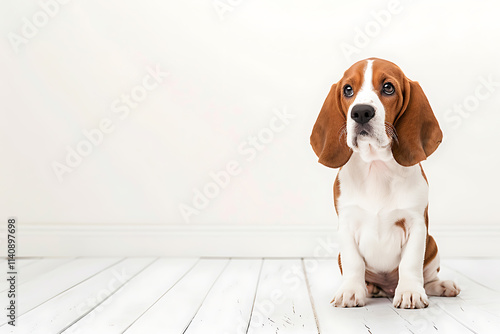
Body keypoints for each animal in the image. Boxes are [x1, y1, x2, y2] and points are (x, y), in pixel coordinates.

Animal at [312, 56, 460, 308]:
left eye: (388, 87)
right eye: (348, 89)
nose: (361, 112)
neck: (376, 166)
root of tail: (387, 288)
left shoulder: (416, 224)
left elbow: (410, 263)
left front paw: (410, 292)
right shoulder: (346, 224)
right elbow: (354, 263)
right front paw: (351, 291)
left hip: (432, 244)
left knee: (427, 277)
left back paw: (441, 286)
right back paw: (370, 288)